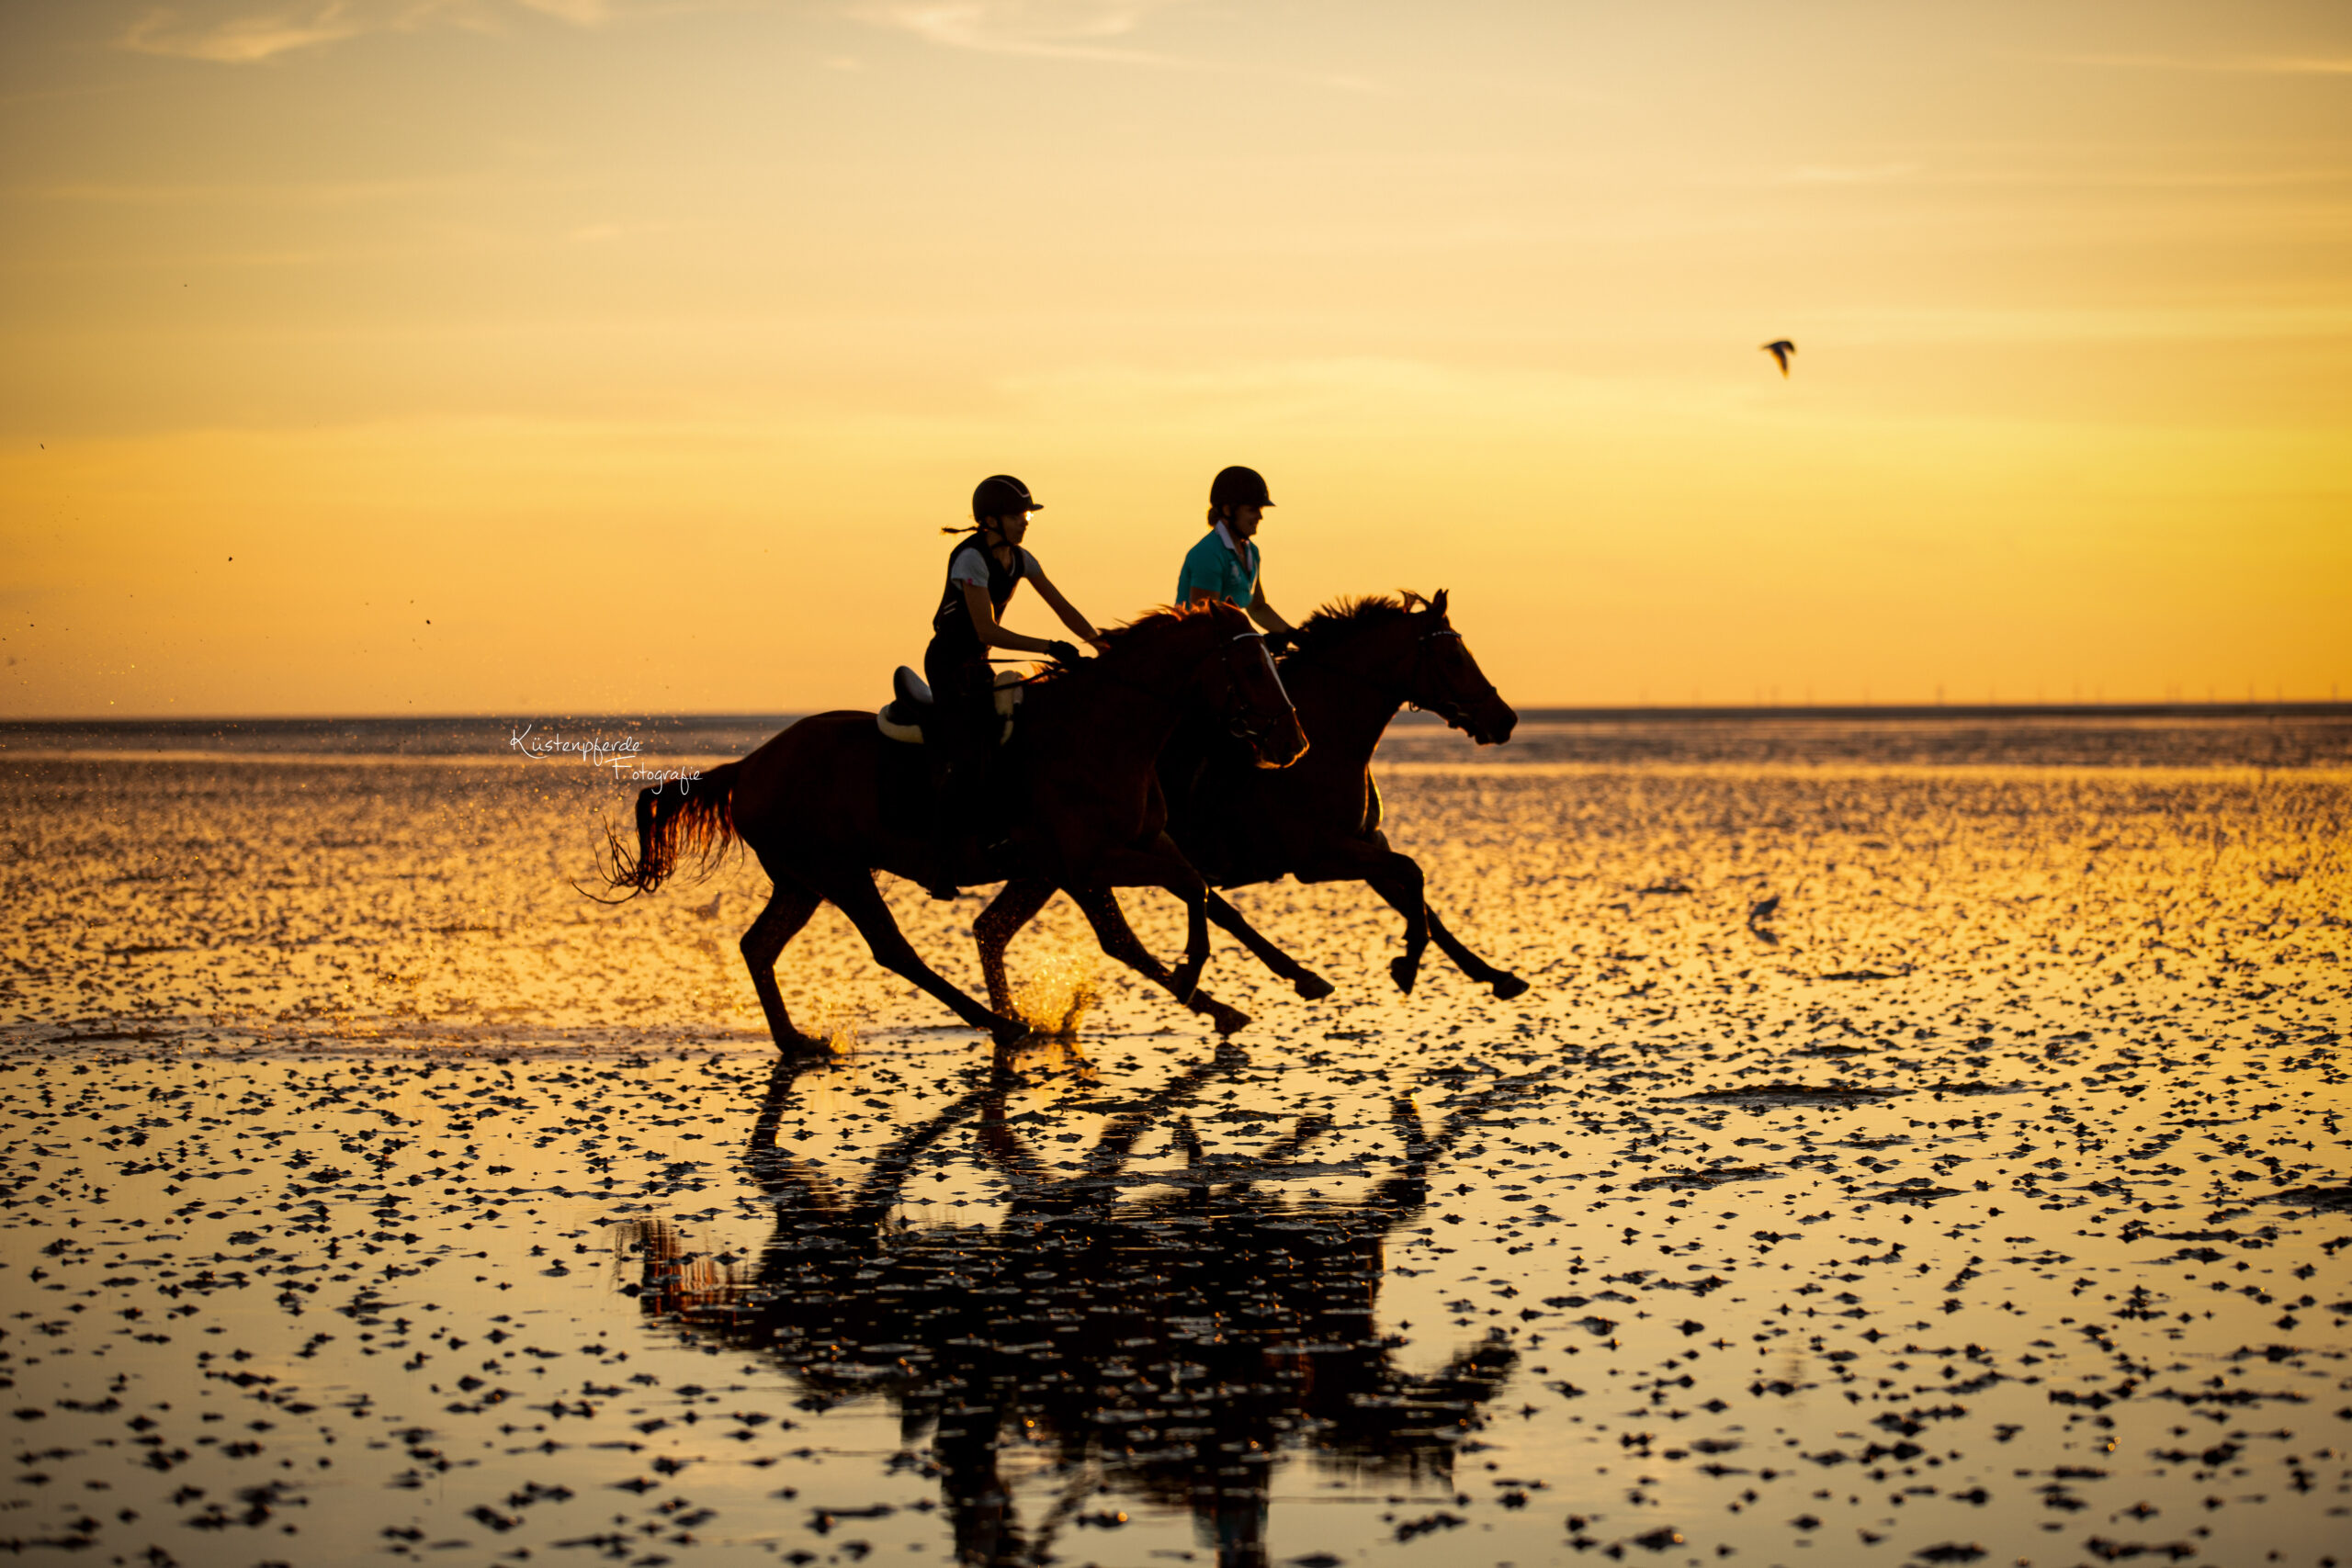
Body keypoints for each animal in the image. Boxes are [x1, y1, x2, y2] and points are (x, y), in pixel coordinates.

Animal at [597, 602, 1307, 1053]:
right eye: (1250, 669)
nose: (1292, 743)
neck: (1103, 729)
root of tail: (749, 764)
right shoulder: (1089, 862)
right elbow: (1148, 923)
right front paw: (1198, 983)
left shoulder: (1129, 846)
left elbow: (1203, 893)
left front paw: (1286, 977)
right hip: (841, 872)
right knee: (892, 949)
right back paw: (997, 1023)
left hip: (801, 881)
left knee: (758, 947)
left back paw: (797, 1040)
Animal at [973, 587, 1523, 1029]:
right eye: (1454, 658)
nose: (1506, 719)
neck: (1331, 736)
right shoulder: (1320, 856)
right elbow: (1412, 876)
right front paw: (1407, 966)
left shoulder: (1363, 842)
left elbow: (1419, 894)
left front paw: (1493, 974)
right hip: (1082, 865)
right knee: (1159, 923)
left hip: (1051, 869)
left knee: (996, 929)